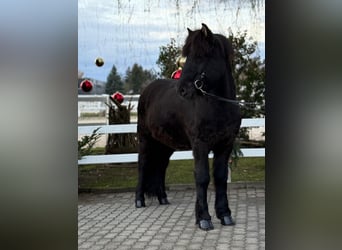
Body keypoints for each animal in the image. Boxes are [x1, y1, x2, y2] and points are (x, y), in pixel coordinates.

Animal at [135, 23, 242, 230]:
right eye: (187, 56)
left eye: (200, 56)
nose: (182, 90)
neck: (218, 106)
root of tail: (147, 90)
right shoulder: (200, 145)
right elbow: (202, 177)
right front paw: (203, 218)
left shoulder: (225, 145)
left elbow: (220, 177)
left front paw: (225, 215)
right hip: (145, 139)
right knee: (143, 165)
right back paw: (139, 200)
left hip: (165, 144)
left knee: (161, 166)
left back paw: (163, 198)